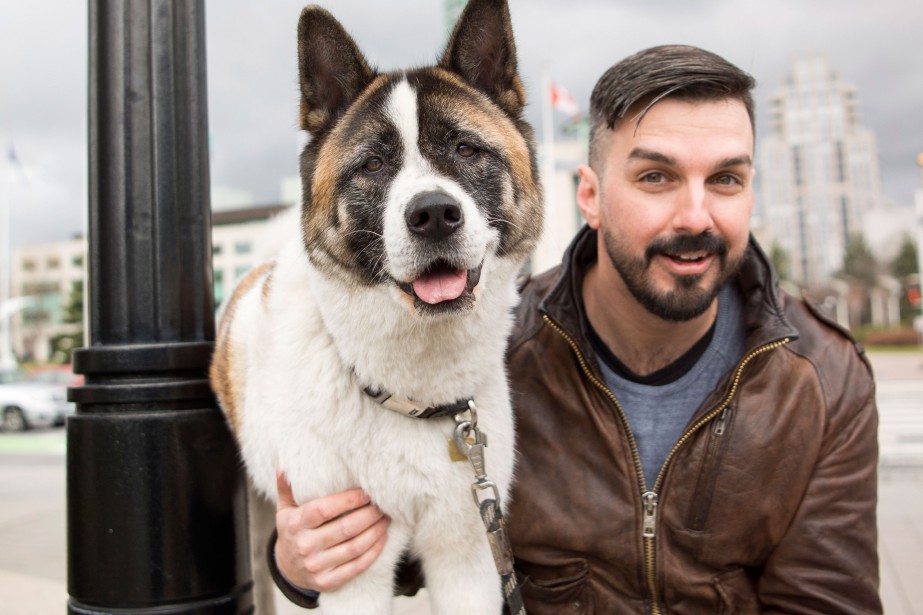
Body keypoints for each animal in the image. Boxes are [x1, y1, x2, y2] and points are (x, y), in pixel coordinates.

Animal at [210, 1, 544, 612]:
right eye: (371, 166)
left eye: (466, 149)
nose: (433, 214)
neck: (412, 394)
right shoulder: (350, 566)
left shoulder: (468, 561)